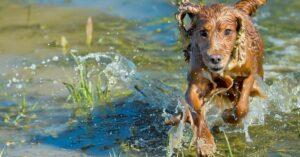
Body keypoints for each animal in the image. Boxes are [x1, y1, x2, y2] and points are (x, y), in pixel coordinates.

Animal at [166, 0, 268, 156]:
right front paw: (205, 144)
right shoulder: (196, 81)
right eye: (203, 33)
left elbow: (242, 106)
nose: (215, 59)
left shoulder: (249, 73)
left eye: (228, 31)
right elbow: (197, 111)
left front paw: (228, 115)